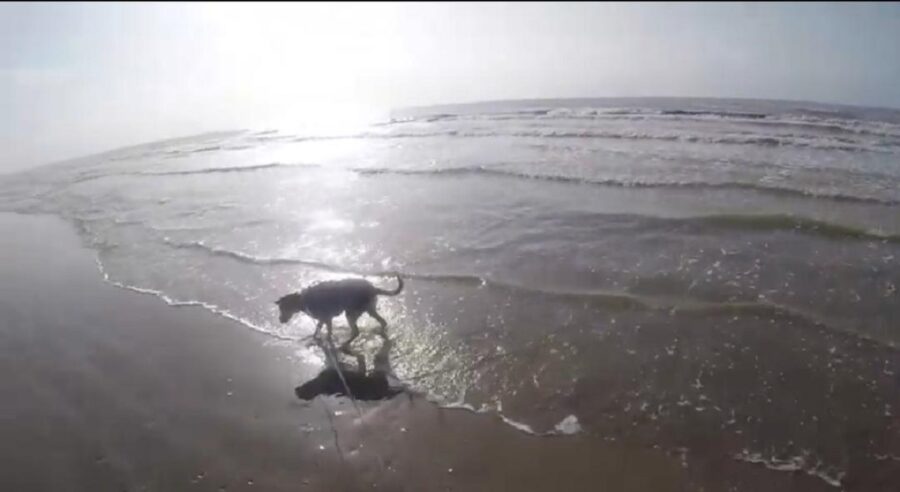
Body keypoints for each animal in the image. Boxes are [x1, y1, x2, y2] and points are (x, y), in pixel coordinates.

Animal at [272, 274, 402, 348]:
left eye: (283, 309)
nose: (280, 320)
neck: (302, 299)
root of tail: (373, 288)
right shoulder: (324, 319)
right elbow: (320, 329)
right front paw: (316, 338)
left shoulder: (326, 318)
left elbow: (326, 332)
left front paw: (326, 340)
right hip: (369, 310)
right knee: (382, 321)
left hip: (350, 314)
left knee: (356, 331)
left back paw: (345, 344)